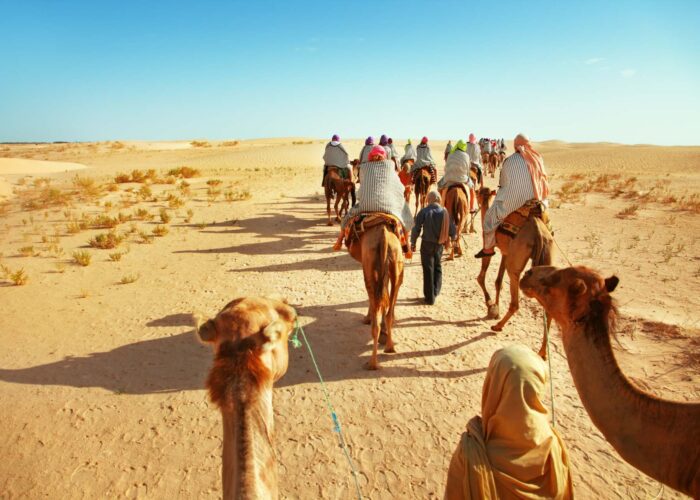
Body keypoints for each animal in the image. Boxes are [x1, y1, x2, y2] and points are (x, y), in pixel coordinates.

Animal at [348, 221, 404, 370]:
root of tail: (384, 236)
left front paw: (367, 318)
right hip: (396, 263)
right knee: (391, 299)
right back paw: (390, 347)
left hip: (370, 264)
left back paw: (372, 363)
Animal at [475, 188, 554, 351]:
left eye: (479, 192)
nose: (476, 193)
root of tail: (538, 231)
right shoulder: (506, 253)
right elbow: (498, 281)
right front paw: (495, 309)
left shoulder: (490, 245)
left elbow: (481, 277)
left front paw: (491, 305)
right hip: (545, 255)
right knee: (548, 309)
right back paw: (543, 352)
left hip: (516, 262)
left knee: (515, 301)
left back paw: (497, 327)